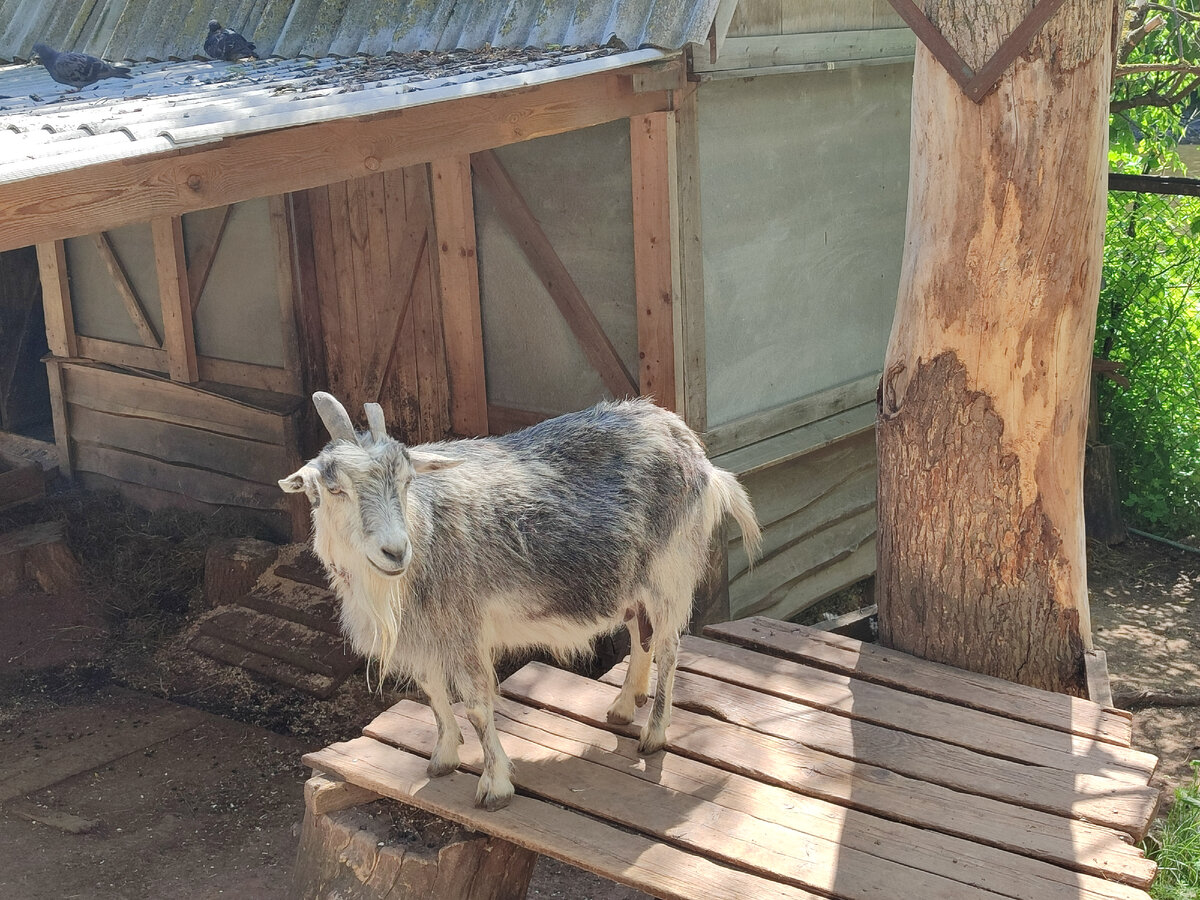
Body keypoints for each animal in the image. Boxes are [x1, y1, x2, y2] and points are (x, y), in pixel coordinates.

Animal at [280, 391, 758, 816]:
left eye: (406, 480)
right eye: (333, 488)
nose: (395, 552)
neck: (425, 530)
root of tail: (690, 445)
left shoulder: (463, 626)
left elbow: (476, 705)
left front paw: (495, 786)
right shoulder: (426, 634)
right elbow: (433, 692)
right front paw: (443, 757)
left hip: (669, 570)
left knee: (669, 647)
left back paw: (655, 734)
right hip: (633, 579)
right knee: (640, 635)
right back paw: (623, 707)